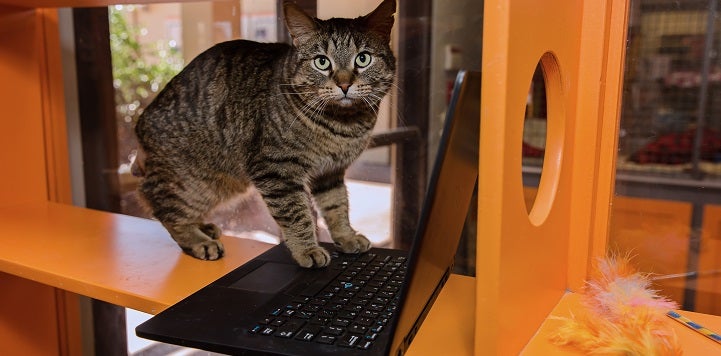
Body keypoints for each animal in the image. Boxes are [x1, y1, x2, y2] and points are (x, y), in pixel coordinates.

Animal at [132, 0, 396, 268]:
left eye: (363, 59)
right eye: (321, 62)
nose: (344, 84)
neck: (344, 124)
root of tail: (141, 123)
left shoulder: (330, 173)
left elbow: (337, 206)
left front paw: (346, 236)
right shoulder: (277, 171)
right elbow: (297, 215)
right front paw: (307, 249)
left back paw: (204, 228)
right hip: (196, 182)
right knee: (157, 202)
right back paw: (198, 240)